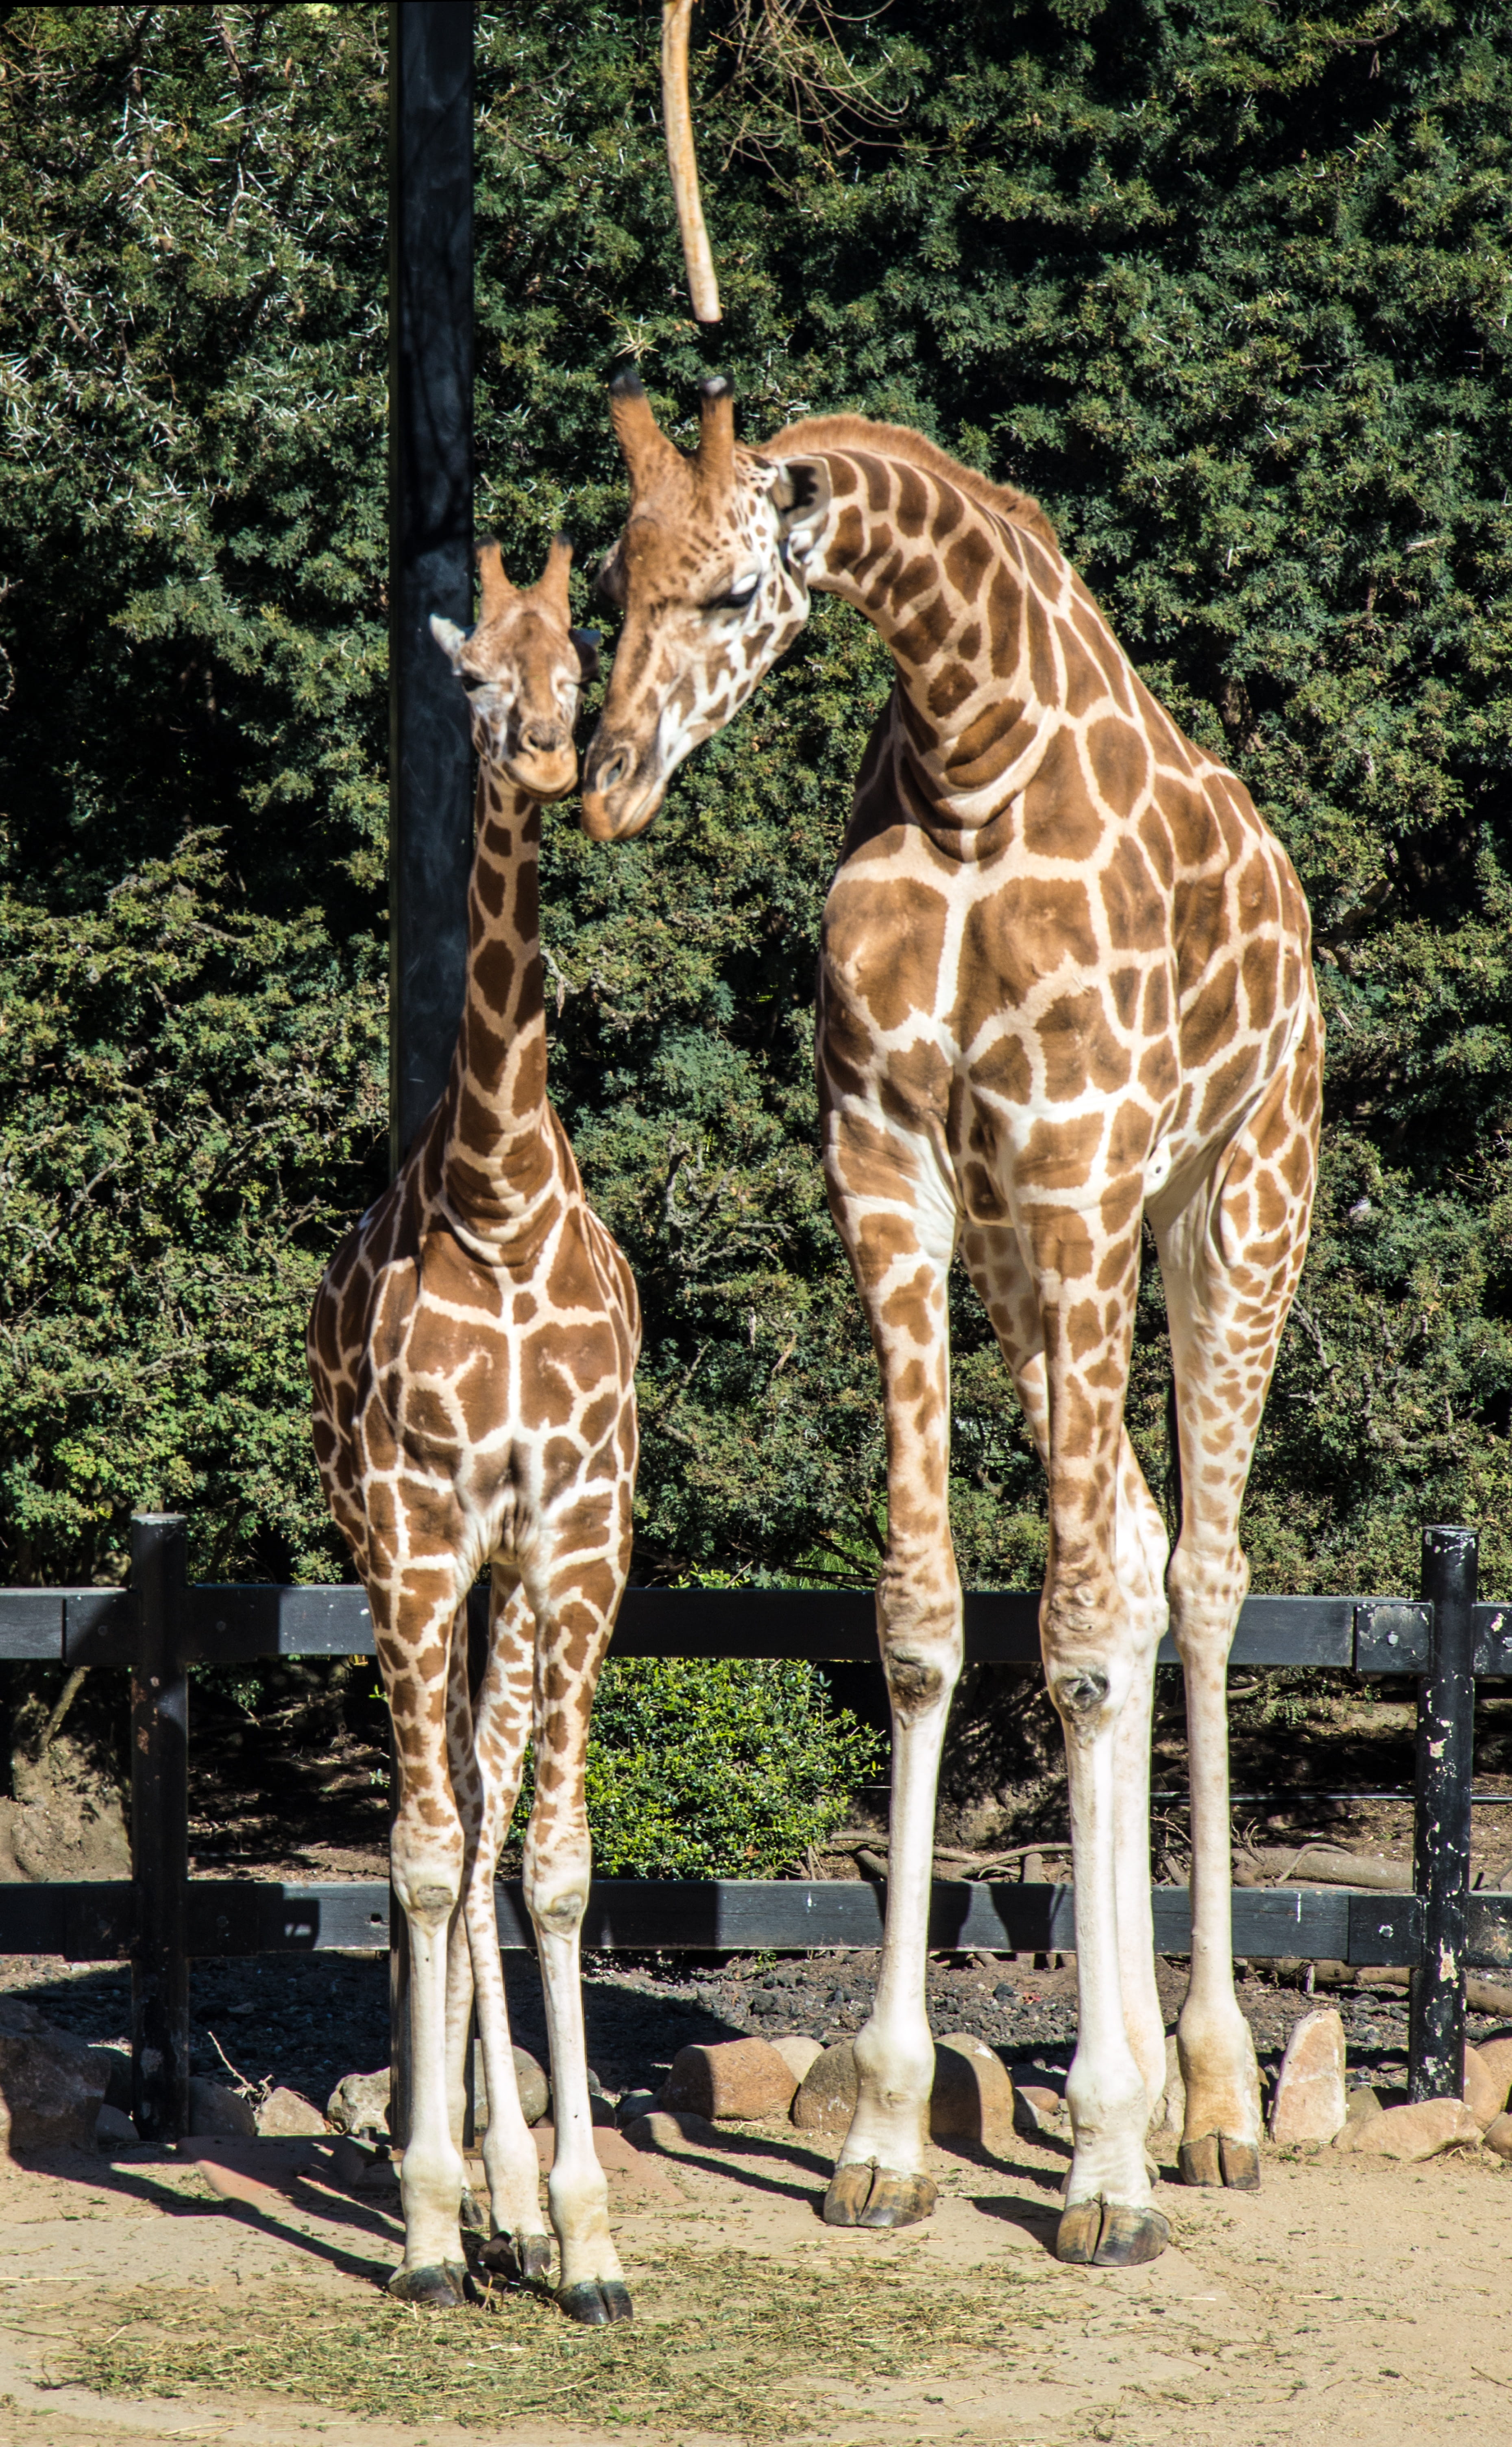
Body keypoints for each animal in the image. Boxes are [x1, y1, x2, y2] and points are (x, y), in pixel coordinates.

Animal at [581, 374, 1321, 2266]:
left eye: (728, 590)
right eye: (611, 577)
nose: (601, 780)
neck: (971, 750)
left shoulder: (1078, 1156)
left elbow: (1073, 1638)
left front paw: (1107, 2171)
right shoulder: (893, 1166)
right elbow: (927, 1618)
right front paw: (889, 2135)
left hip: (1229, 1201)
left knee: (1200, 1578)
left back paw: (1212, 2098)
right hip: (1025, 1252)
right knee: (1128, 1545)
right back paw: (1147, 2080)